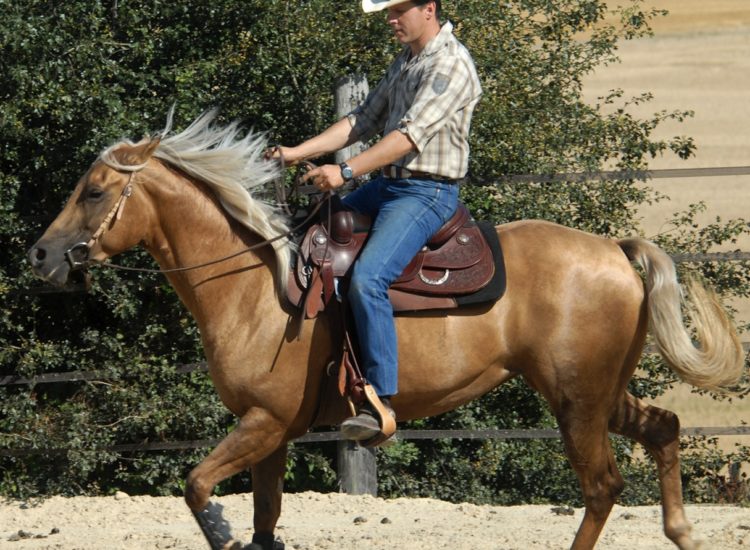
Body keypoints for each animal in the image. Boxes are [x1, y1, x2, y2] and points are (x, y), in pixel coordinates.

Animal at [28, 111, 744, 550]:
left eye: (95, 191)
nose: (41, 256)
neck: (256, 289)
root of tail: (614, 249)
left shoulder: (262, 421)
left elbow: (199, 485)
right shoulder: (271, 432)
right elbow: (265, 519)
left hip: (576, 400)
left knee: (602, 488)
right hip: (597, 393)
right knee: (664, 429)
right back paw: (684, 532)